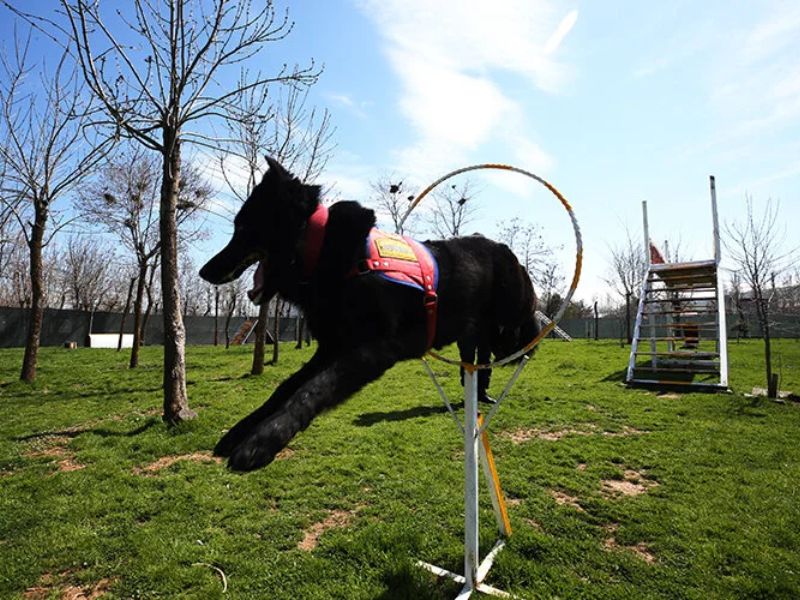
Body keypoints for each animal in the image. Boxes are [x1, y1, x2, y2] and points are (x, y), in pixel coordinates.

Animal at [199, 159, 536, 474]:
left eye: (242, 228)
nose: (204, 271)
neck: (323, 252)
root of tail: (506, 250)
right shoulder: (330, 350)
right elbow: (286, 387)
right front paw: (242, 429)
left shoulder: (374, 350)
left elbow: (314, 389)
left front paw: (263, 440)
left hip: (508, 326)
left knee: (523, 332)